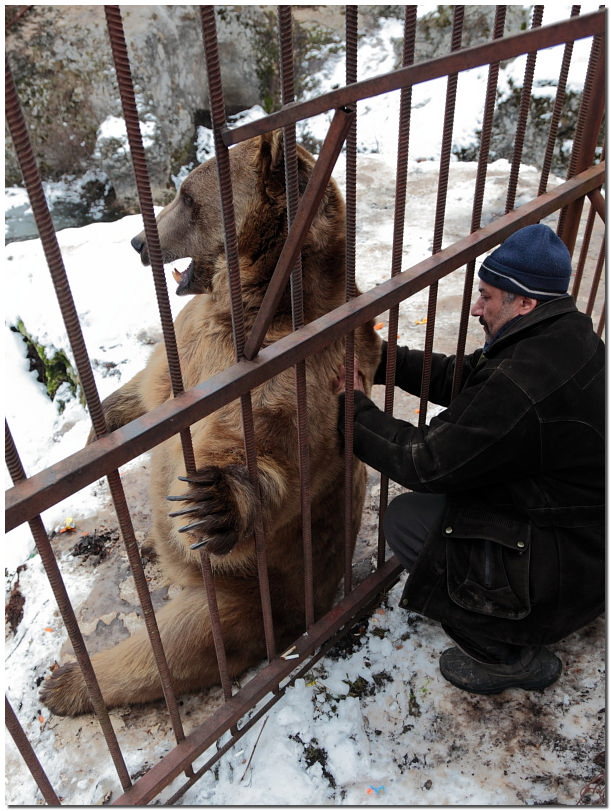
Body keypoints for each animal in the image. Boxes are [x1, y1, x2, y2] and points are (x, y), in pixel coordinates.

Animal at [40, 128, 380, 716]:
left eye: (185, 197)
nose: (138, 242)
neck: (249, 301)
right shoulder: (191, 344)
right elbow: (149, 389)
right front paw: (95, 431)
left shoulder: (307, 373)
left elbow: (266, 448)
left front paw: (215, 501)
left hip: (246, 593)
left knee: (177, 644)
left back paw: (69, 683)